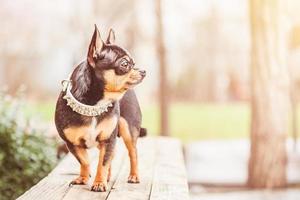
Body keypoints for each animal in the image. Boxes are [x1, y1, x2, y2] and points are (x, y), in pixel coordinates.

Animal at [55, 25, 147, 192]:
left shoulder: (108, 139)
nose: (143, 71)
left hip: (128, 130)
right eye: (125, 64)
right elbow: (85, 160)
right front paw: (84, 178)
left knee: (133, 153)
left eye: (134, 63)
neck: (94, 104)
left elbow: (102, 163)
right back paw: (108, 177)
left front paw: (98, 183)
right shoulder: (72, 144)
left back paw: (134, 176)